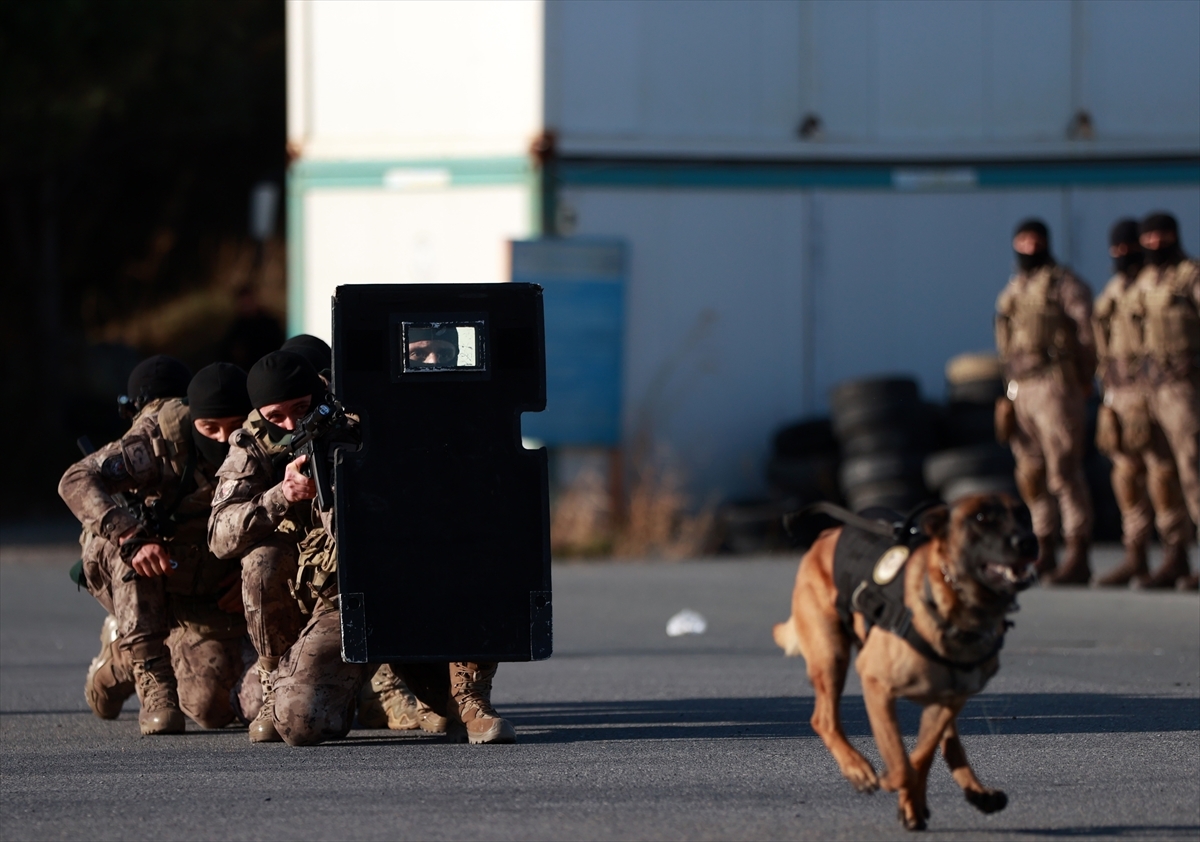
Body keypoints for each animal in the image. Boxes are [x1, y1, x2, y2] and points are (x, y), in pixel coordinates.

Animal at [772, 494, 1036, 830]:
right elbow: (902, 762)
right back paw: (858, 769)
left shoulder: (947, 702)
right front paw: (894, 785)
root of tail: (826, 535)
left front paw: (911, 803)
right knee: (824, 719)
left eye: (1024, 516)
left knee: (948, 745)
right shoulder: (876, 685)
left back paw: (975, 792)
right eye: (980, 518)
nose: (1028, 542)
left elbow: (920, 758)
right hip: (831, 656)